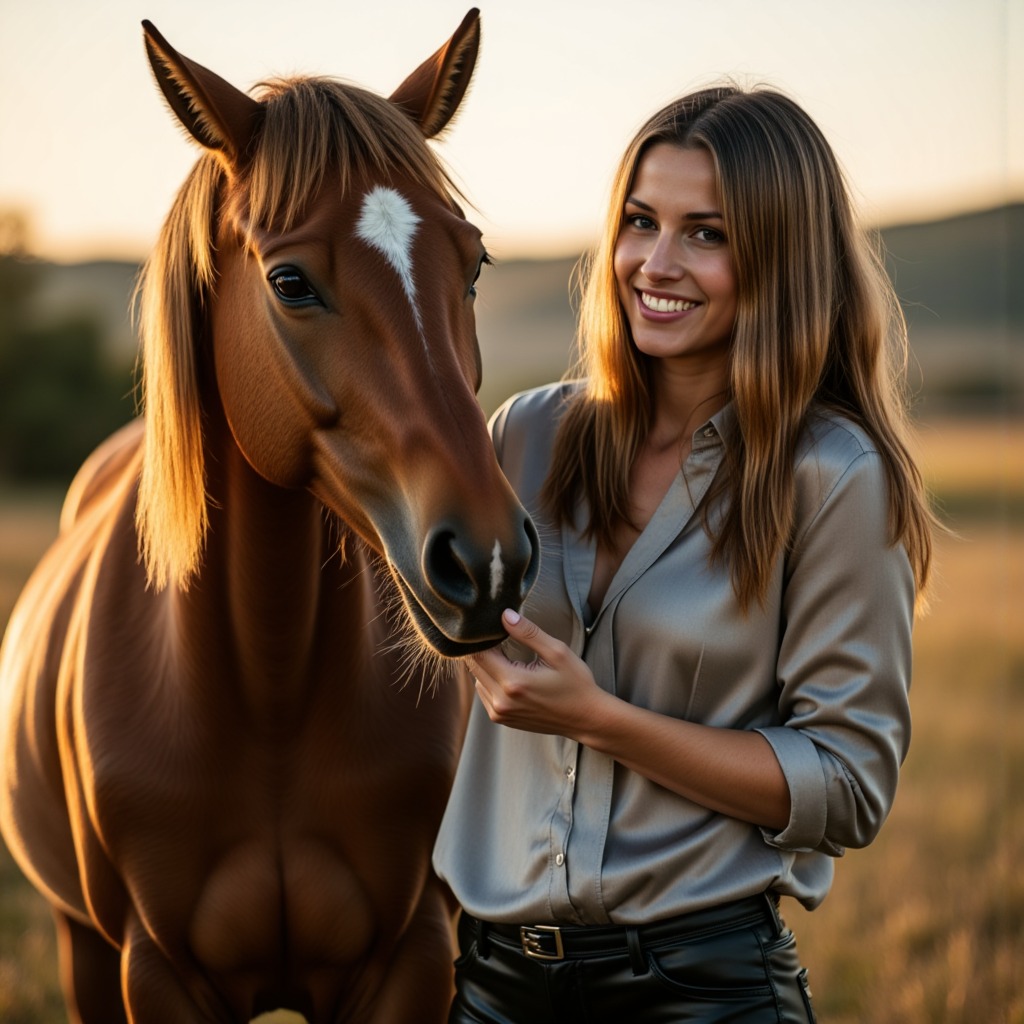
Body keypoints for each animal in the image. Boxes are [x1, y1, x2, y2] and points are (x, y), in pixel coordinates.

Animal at [0, 11, 539, 1022]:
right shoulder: (153, 973)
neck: (269, 694)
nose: (485, 562)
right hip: (79, 946)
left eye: (476, 262)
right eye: (290, 282)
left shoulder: (410, 958)